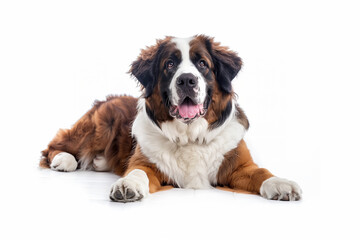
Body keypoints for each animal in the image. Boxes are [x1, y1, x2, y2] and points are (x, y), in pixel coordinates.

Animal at [40, 34, 302, 202]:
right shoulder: (145, 163)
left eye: (202, 64)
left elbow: (261, 172)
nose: (187, 80)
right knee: (54, 146)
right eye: (170, 64)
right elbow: (137, 172)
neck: (190, 136)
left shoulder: (239, 166)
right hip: (98, 129)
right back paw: (63, 160)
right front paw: (127, 185)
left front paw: (281, 183)